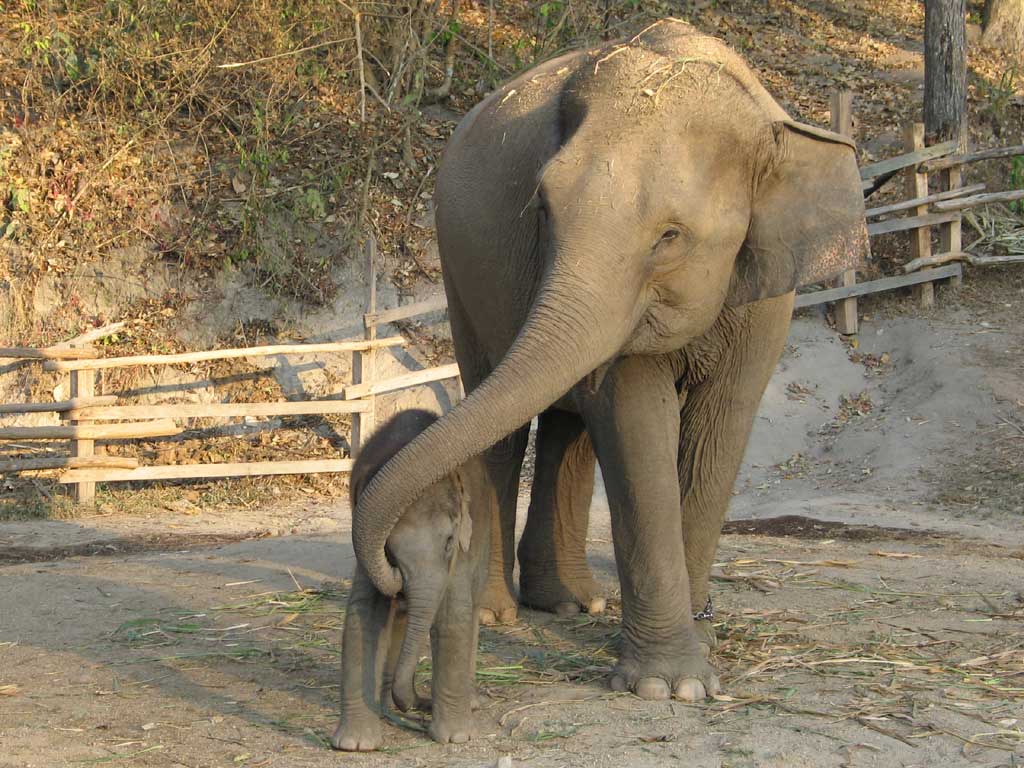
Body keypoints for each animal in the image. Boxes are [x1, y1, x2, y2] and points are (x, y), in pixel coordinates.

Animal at [331, 409, 489, 749]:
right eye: (389, 549)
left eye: (448, 541)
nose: (420, 705)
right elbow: (363, 612)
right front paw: (355, 745)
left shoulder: (460, 549)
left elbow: (453, 613)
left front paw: (456, 737)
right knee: (399, 615)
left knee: (472, 602)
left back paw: (469, 702)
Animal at [351, 19, 868, 702]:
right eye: (542, 209)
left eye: (670, 236)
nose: (390, 570)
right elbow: (635, 421)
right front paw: (669, 687)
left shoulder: (766, 294)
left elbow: (718, 430)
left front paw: (697, 641)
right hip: (461, 271)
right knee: (503, 423)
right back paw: (496, 613)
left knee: (567, 427)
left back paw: (572, 604)